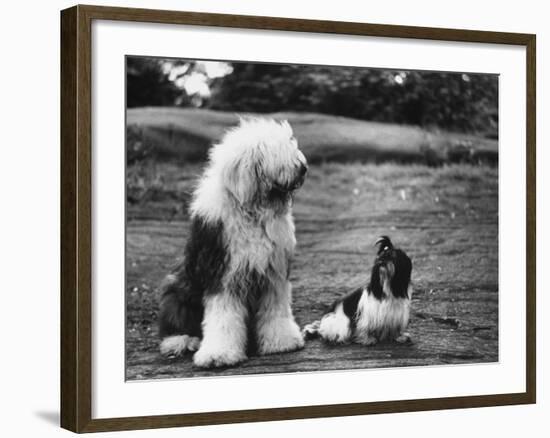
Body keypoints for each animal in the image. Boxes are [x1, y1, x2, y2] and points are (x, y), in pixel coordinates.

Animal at [160, 118, 308, 368]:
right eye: (277, 150)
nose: (303, 167)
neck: (253, 211)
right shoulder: (222, 275)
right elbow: (223, 317)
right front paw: (218, 354)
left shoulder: (273, 274)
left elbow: (276, 310)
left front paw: (282, 341)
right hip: (178, 287)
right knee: (175, 320)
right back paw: (181, 341)